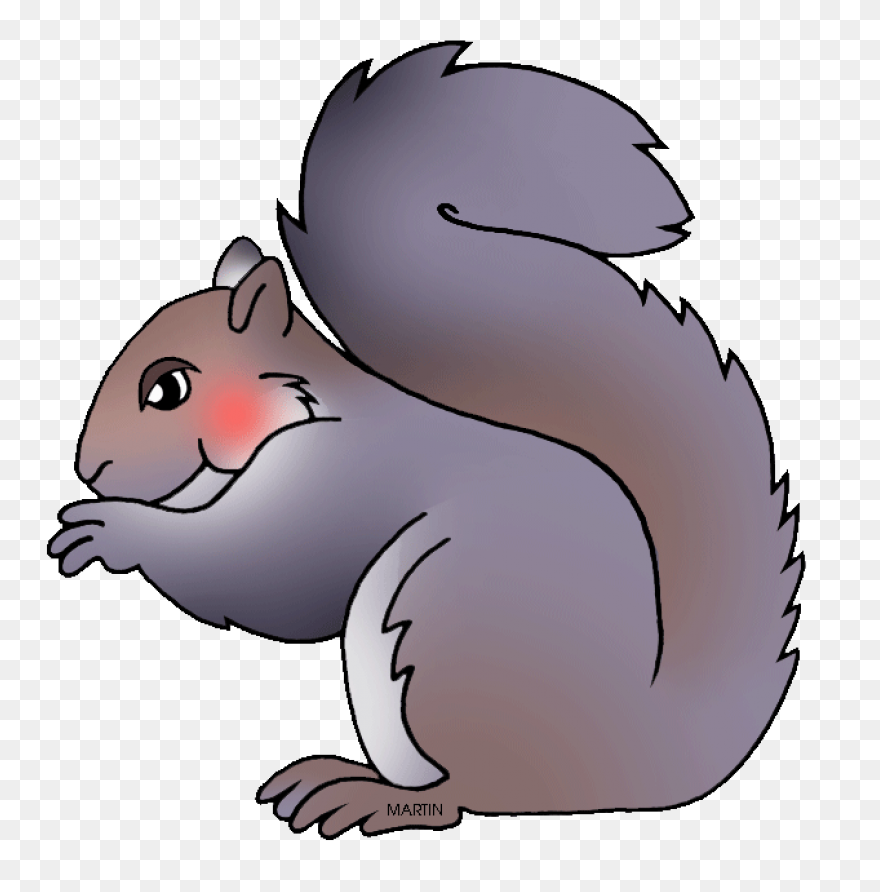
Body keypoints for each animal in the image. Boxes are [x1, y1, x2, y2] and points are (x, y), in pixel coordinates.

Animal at [48, 42, 803, 838]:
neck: (296, 408)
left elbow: (256, 573)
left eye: (167, 387)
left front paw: (114, 529)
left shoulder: (334, 481)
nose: (90, 467)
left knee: (464, 797)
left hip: (436, 639)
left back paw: (363, 794)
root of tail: (633, 763)